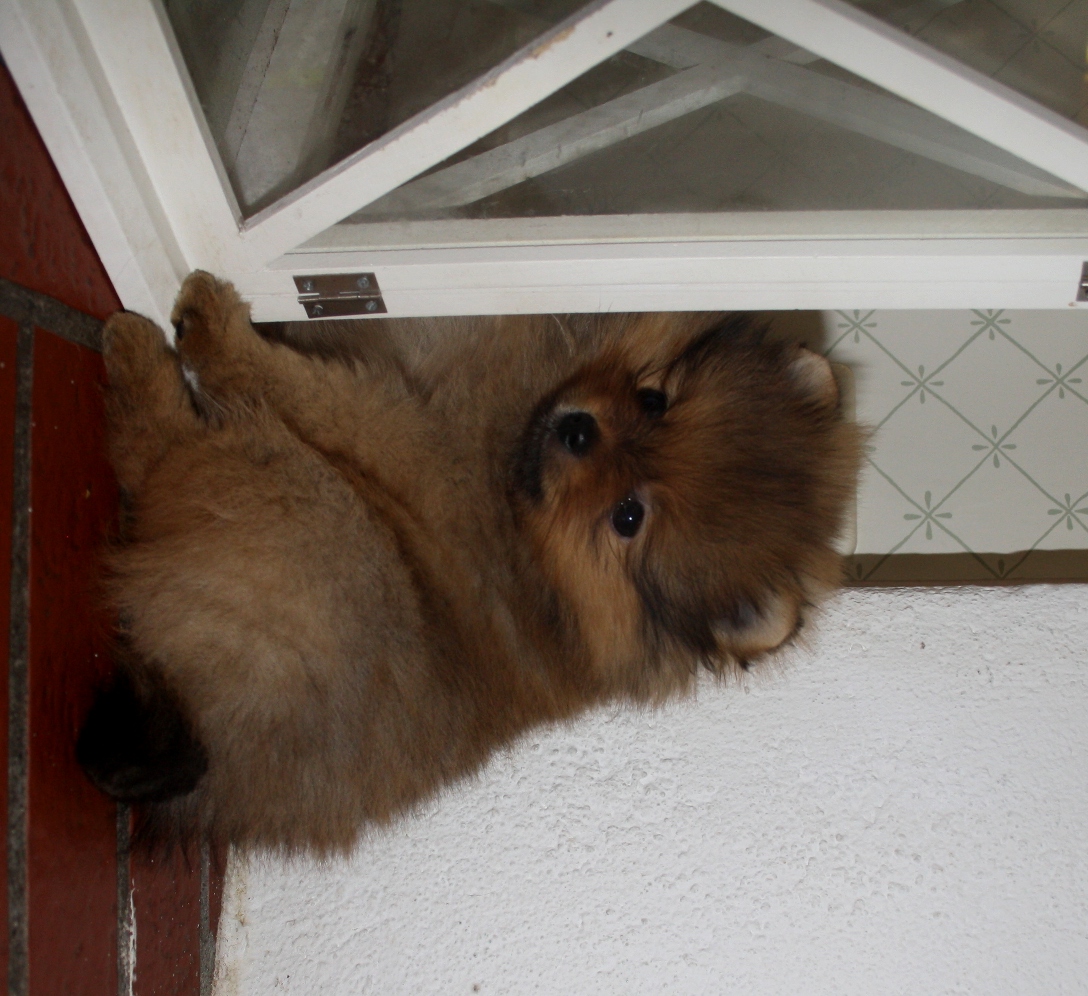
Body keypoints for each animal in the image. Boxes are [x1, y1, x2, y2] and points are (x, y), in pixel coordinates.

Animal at [77, 271, 862, 854]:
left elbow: (301, 385)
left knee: (164, 454)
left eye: (628, 518)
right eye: (652, 399)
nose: (578, 430)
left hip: (302, 506)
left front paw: (212, 325)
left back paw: (138, 355)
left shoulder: (399, 431)